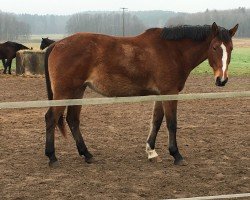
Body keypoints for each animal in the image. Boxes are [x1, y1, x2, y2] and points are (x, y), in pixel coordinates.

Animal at [44, 22, 238, 167]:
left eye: (231, 48)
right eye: (214, 47)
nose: (222, 80)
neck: (173, 51)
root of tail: (57, 44)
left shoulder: (161, 94)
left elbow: (157, 122)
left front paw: (151, 151)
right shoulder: (169, 93)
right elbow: (171, 124)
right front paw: (176, 154)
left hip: (78, 91)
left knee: (73, 120)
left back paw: (87, 154)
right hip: (64, 92)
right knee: (51, 118)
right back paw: (52, 157)